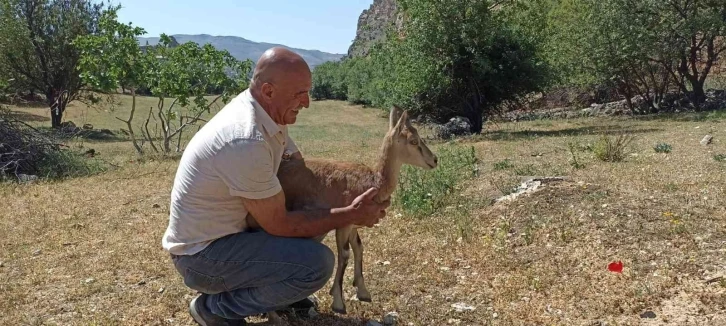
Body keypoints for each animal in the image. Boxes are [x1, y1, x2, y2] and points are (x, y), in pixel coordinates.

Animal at [278, 105, 438, 314]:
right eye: (413, 140)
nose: (434, 160)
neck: (373, 181)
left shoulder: (353, 227)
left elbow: (359, 248)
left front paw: (363, 292)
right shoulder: (343, 224)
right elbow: (344, 254)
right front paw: (338, 303)